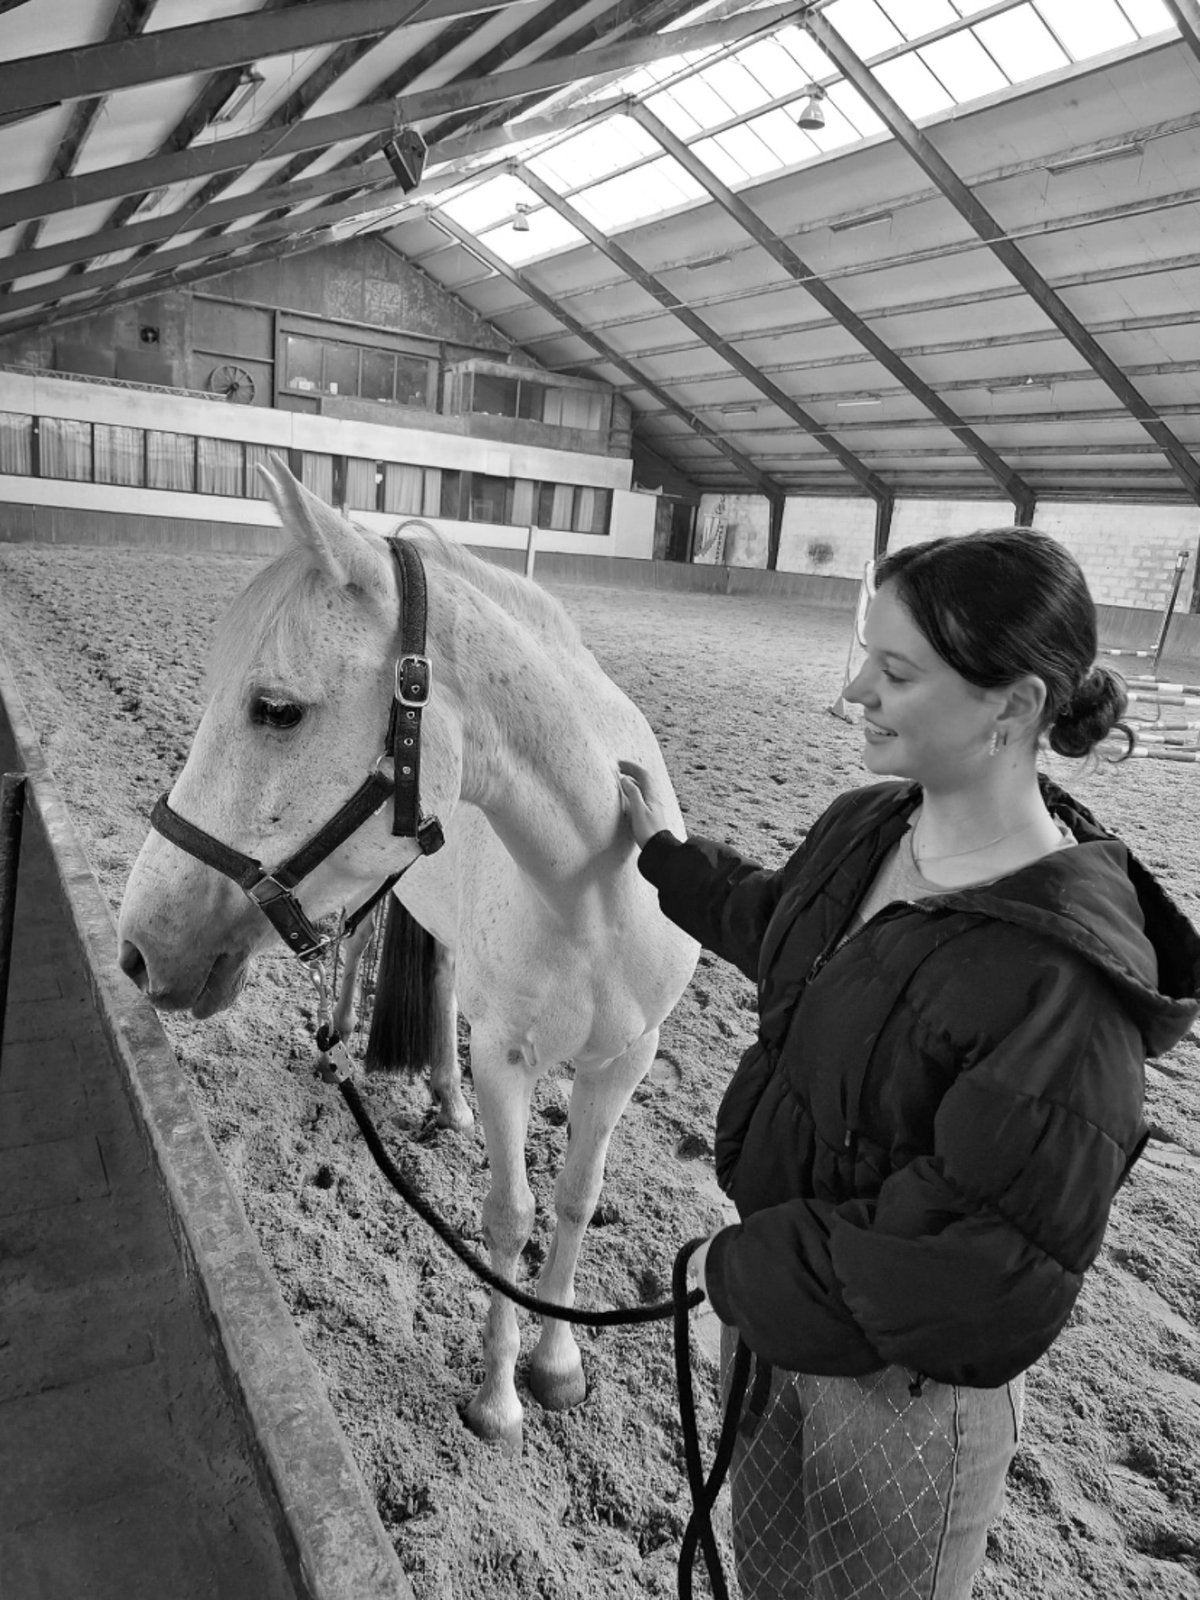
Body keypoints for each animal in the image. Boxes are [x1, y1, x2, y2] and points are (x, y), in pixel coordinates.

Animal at [117, 463, 699, 1450]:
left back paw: (444, 1100)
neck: (592, 892)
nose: (137, 949)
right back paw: (346, 1036)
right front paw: (499, 1397)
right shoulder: (508, 1059)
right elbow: (509, 1216)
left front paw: (559, 1363)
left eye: (276, 710)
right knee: (359, 954)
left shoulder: (625, 1059)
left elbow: (577, 1197)